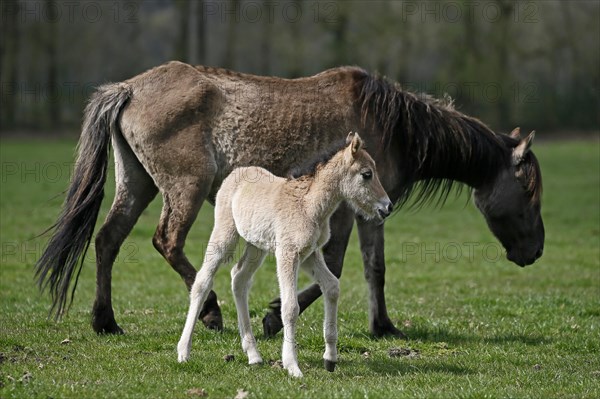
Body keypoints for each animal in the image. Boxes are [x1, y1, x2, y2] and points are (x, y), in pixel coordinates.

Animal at [35, 61, 548, 338]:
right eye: (528, 192)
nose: (536, 250)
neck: (395, 126)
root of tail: (129, 88)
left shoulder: (373, 215)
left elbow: (374, 269)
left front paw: (384, 326)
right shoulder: (345, 214)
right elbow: (334, 267)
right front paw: (273, 319)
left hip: (137, 184)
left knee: (108, 240)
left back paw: (106, 321)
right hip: (186, 188)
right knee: (168, 242)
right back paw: (211, 311)